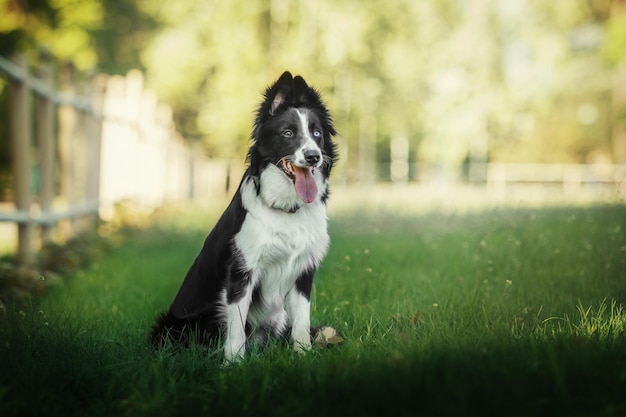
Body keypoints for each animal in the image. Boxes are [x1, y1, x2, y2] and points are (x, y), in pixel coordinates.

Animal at [151, 70, 334, 360]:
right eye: (288, 133)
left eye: (317, 133)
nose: (313, 156)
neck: (286, 208)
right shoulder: (241, 271)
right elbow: (236, 325)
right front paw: (234, 363)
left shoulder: (304, 270)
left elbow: (302, 323)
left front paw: (302, 355)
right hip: (185, 322)